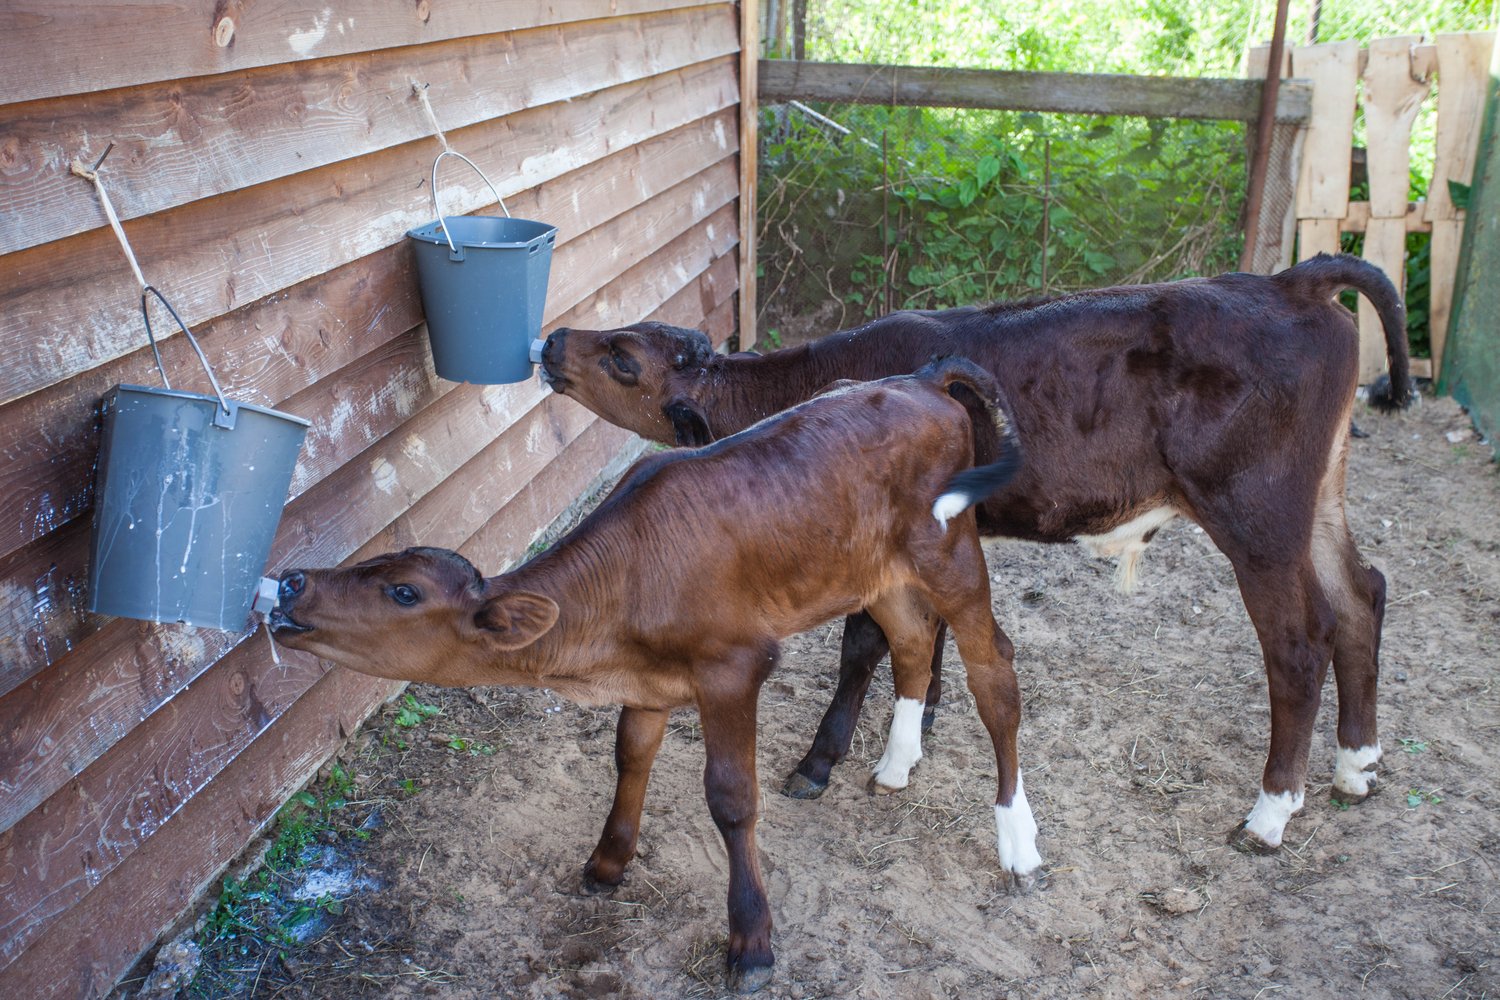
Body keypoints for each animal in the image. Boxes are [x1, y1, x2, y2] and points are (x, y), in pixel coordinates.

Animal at [273, 359, 1032, 995]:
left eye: (403, 592)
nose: (290, 582)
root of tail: (922, 379)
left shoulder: (734, 666)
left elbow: (731, 798)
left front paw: (750, 944)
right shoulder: (648, 680)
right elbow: (630, 756)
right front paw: (607, 864)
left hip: (952, 551)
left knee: (994, 670)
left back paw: (1017, 840)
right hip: (876, 571)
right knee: (910, 643)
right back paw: (897, 763)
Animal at [543, 254, 1416, 857]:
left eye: (623, 357)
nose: (552, 339)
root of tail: (1290, 281)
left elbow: (863, 645)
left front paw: (822, 761)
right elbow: (919, 641)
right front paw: (921, 724)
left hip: (1257, 513)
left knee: (1297, 645)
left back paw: (1269, 813)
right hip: (1317, 496)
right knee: (1362, 593)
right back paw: (1355, 764)